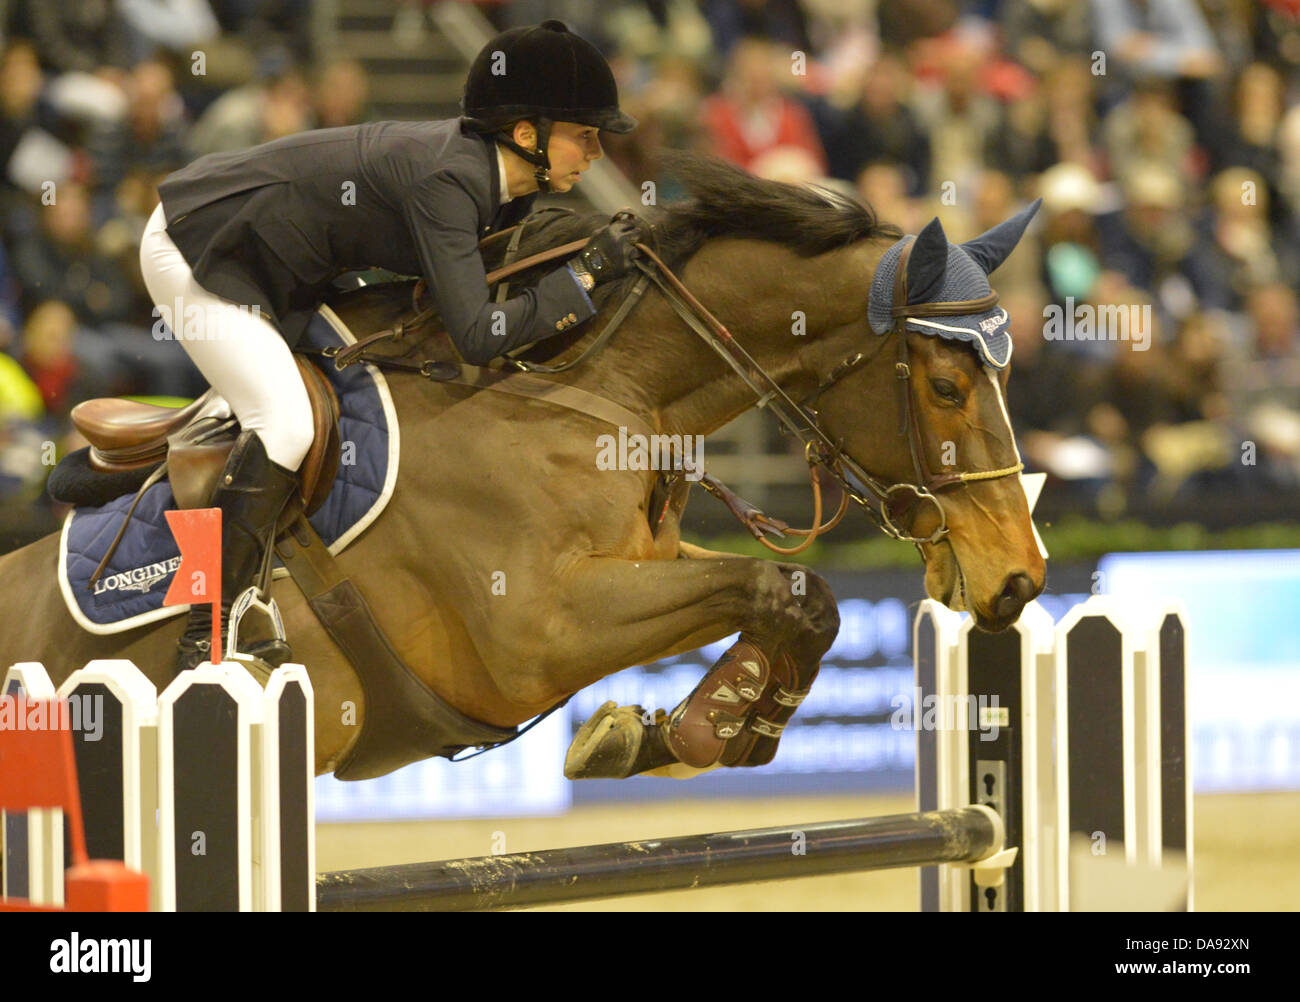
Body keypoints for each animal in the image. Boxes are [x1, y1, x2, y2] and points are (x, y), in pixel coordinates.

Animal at [0, 154, 1040, 784]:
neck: (596, 390)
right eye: (948, 385)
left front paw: (686, 729)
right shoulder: (536, 631)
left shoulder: (639, 567)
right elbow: (772, 584)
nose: (1020, 582)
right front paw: (694, 730)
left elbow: (801, 596)